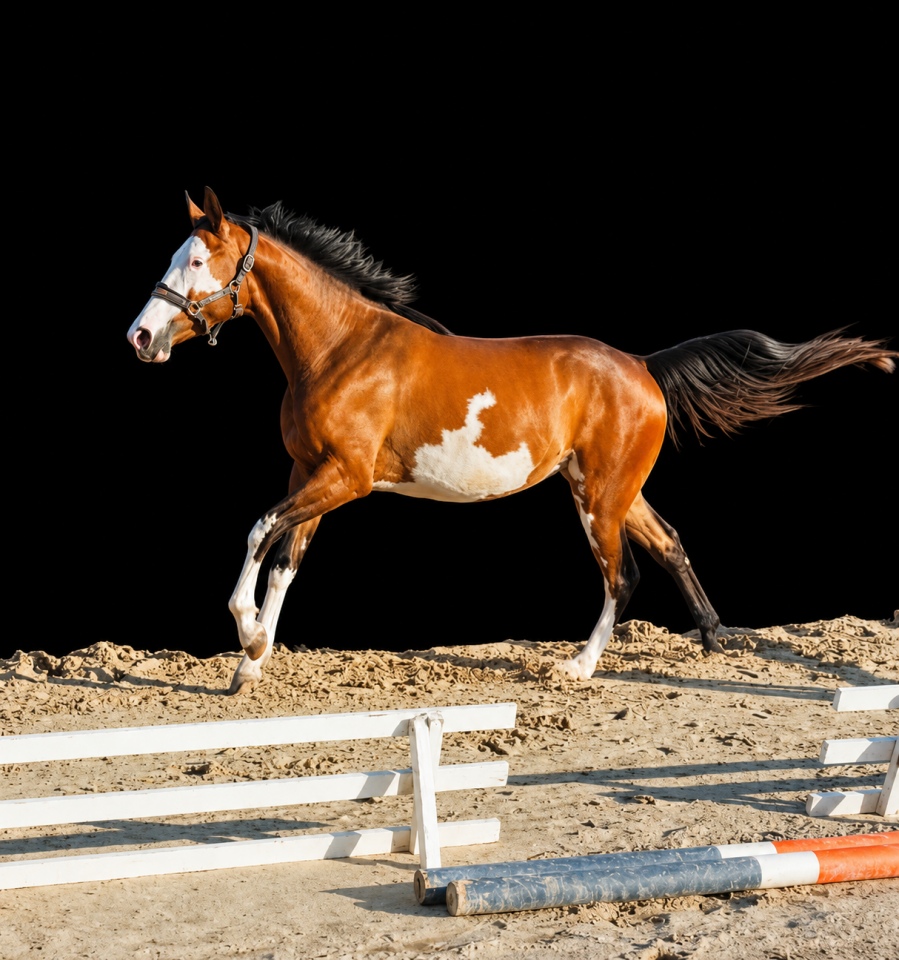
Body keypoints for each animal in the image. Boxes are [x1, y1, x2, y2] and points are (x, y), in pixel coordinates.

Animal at [126, 187, 897, 695]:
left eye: (197, 261)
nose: (139, 336)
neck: (341, 348)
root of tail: (642, 366)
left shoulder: (343, 479)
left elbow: (259, 532)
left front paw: (247, 635)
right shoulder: (306, 474)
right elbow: (287, 559)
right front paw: (250, 662)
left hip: (599, 497)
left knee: (622, 575)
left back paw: (577, 667)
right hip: (611, 487)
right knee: (670, 542)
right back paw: (712, 636)